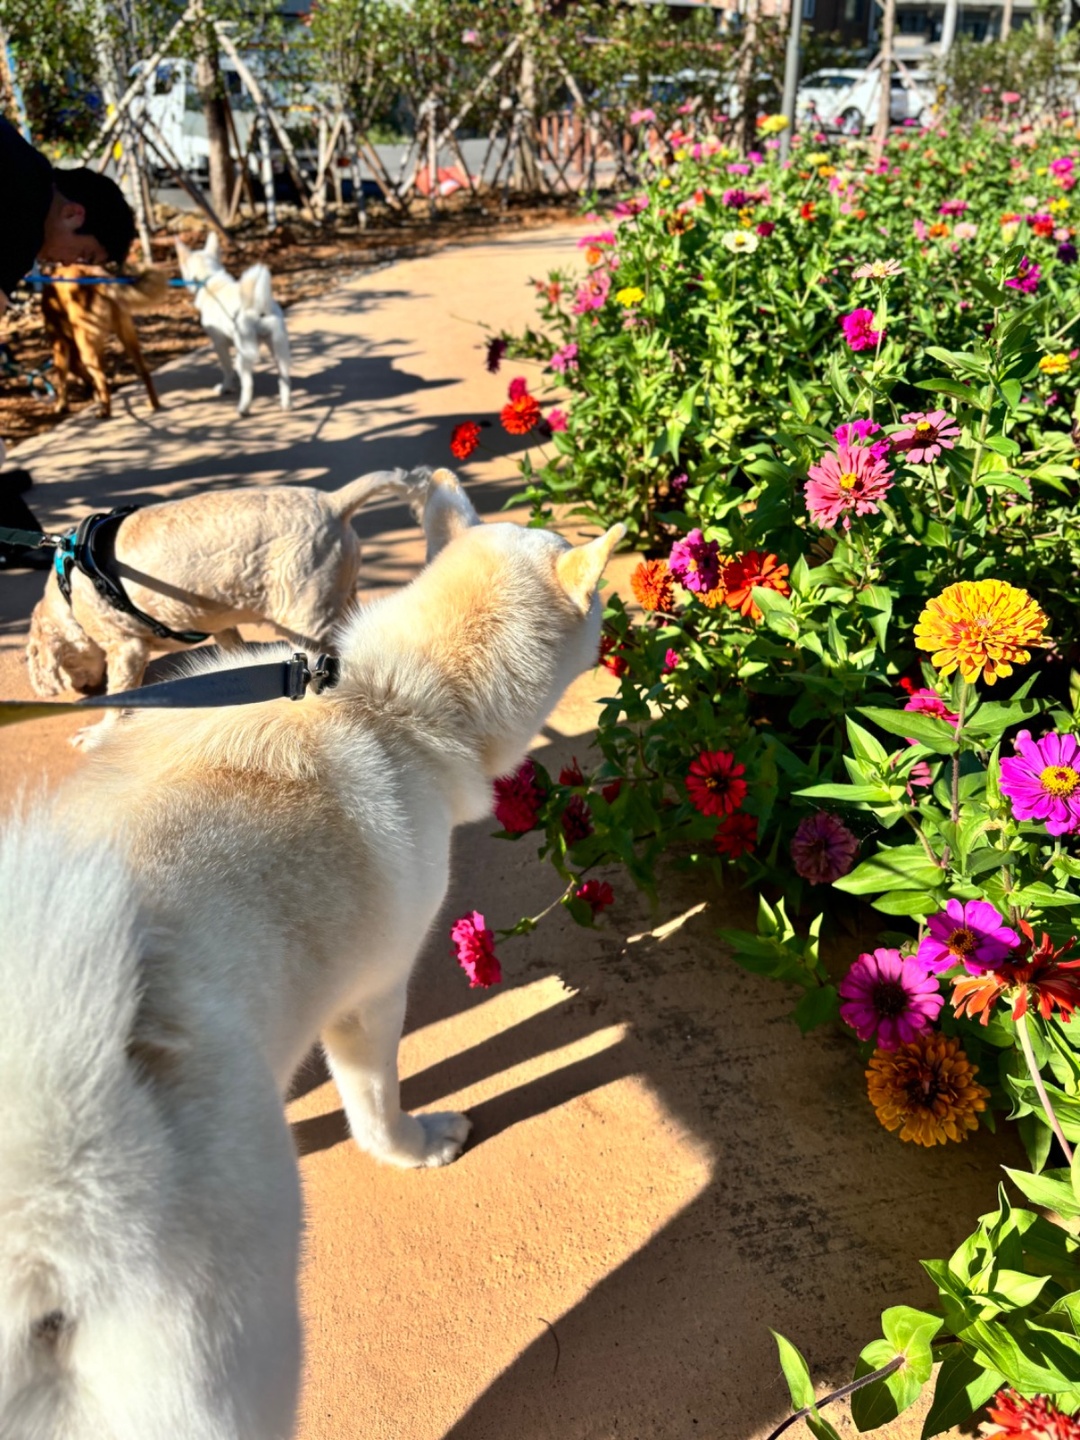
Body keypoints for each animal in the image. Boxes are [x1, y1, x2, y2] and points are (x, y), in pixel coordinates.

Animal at [27, 472, 414, 743]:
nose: (83, 691)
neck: (66, 589)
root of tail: (335, 503)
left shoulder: (126, 649)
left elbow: (118, 697)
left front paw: (96, 734)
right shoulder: (219, 624)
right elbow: (233, 649)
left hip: (307, 617)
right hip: (342, 596)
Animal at [40, 267, 166, 420]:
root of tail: (98, 278)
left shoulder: (60, 344)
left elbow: (62, 377)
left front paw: (61, 404)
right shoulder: (95, 347)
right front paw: (93, 392)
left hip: (86, 348)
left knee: (103, 381)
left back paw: (105, 411)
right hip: (126, 336)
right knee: (144, 371)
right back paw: (154, 404)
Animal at [177, 227, 296, 414]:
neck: (209, 281)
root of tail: (258, 307)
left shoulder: (219, 343)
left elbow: (227, 369)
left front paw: (225, 387)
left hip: (244, 355)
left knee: (248, 384)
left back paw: (243, 408)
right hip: (279, 349)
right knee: (284, 380)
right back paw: (286, 404)